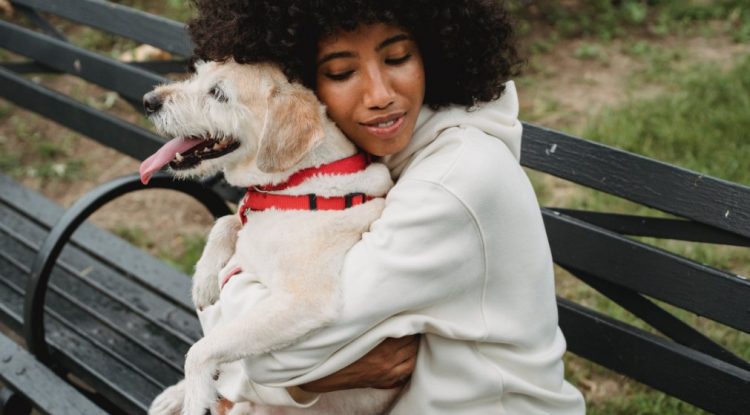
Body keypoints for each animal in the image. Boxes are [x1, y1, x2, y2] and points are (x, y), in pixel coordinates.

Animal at [141, 61, 400, 415]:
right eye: (198, 73)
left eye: (218, 93)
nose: (149, 101)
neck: (299, 183)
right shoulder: (246, 217)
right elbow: (225, 220)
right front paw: (204, 281)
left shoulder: (304, 302)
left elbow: (201, 350)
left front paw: (194, 400)